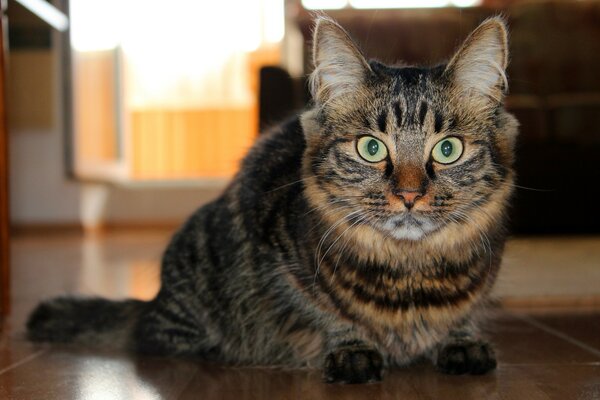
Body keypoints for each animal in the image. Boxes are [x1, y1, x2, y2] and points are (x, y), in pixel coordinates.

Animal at [27, 16, 516, 384]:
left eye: (448, 149)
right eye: (371, 148)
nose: (410, 195)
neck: (409, 273)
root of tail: (153, 300)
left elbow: (465, 314)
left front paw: (461, 339)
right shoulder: (282, 263)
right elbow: (326, 313)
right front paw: (351, 348)